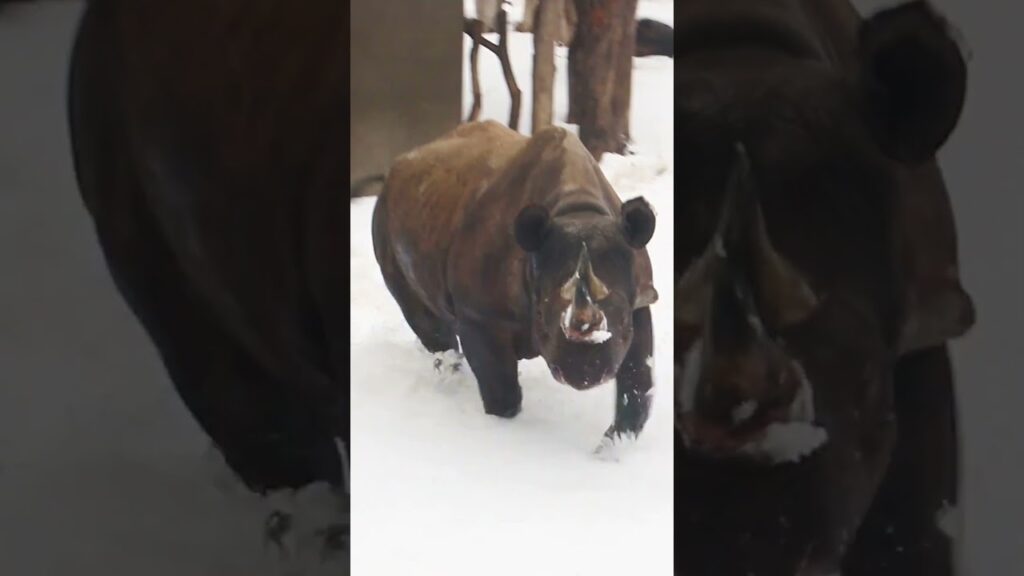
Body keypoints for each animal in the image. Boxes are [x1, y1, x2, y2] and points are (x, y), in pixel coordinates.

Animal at [372, 120, 659, 446]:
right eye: (541, 321)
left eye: (622, 323)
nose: (585, 375)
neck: (577, 210)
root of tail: (398, 167)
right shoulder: (480, 313)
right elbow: (500, 387)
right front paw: (504, 429)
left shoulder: (641, 298)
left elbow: (637, 381)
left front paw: (612, 447)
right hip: (384, 218)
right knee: (426, 321)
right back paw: (450, 378)